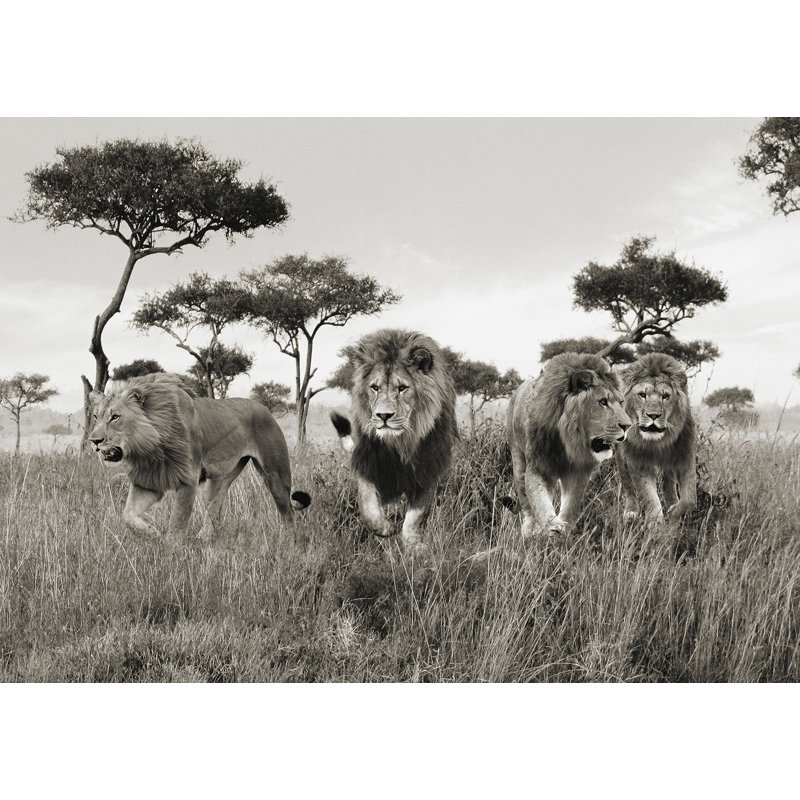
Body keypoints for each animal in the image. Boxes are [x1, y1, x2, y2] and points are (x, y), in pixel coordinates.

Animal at [88, 373, 310, 538]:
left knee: (289, 513)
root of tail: (263, 407)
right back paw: (203, 539)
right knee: (214, 508)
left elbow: (177, 523)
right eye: (96, 416)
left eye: (115, 417)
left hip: (276, 475)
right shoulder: (148, 481)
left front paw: (172, 553)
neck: (149, 447)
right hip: (219, 479)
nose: (94, 441)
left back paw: (290, 543)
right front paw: (152, 533)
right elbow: (127, 516)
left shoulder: (188, 479)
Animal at [329, 328, 458, 553]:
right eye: (375, 387)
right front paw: (386, 528)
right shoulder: (368, 463)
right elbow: (369, 508)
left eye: (402, 388)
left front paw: (415, 547)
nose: (383, 416)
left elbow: (416, 517)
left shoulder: (427, 472)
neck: (401, 443)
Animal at [507, 352, 631, 537]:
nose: (628, 426)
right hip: (517, 457)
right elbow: (538, 498)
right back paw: (529, 531)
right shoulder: (538, 465)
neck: (568, 441)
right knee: (525, 500)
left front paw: (564, 529)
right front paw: (552, 527)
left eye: (621, 402)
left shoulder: (578, 472)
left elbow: (571, 505)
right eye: (602, 402)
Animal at [616, 352, 696, 520]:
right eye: (642, 395)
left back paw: (672, 502)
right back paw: (631, 511)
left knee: (669, 480)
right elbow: (650, 498)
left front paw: (674, 512)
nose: (653, 415)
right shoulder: (638, 461)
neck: (658, 443)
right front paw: (656, 523)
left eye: (665, 396)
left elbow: (690, 498)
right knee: (627, 483)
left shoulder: (685, 455)